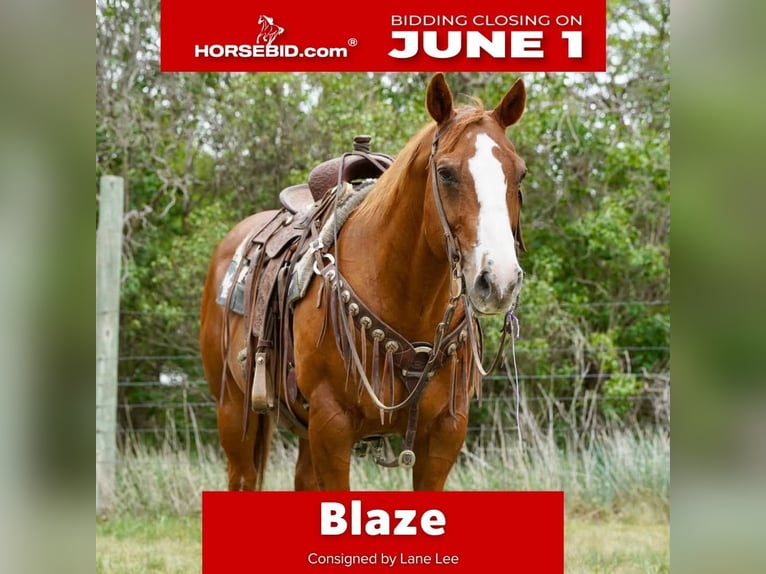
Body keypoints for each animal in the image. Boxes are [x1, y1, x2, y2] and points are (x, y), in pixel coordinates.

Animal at [199, 73, 528, 491]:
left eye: (519, 174)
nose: (498, 281)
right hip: (233, 410)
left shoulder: (446, 431)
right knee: (242, 477)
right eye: (446, 173)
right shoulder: (331, 424)